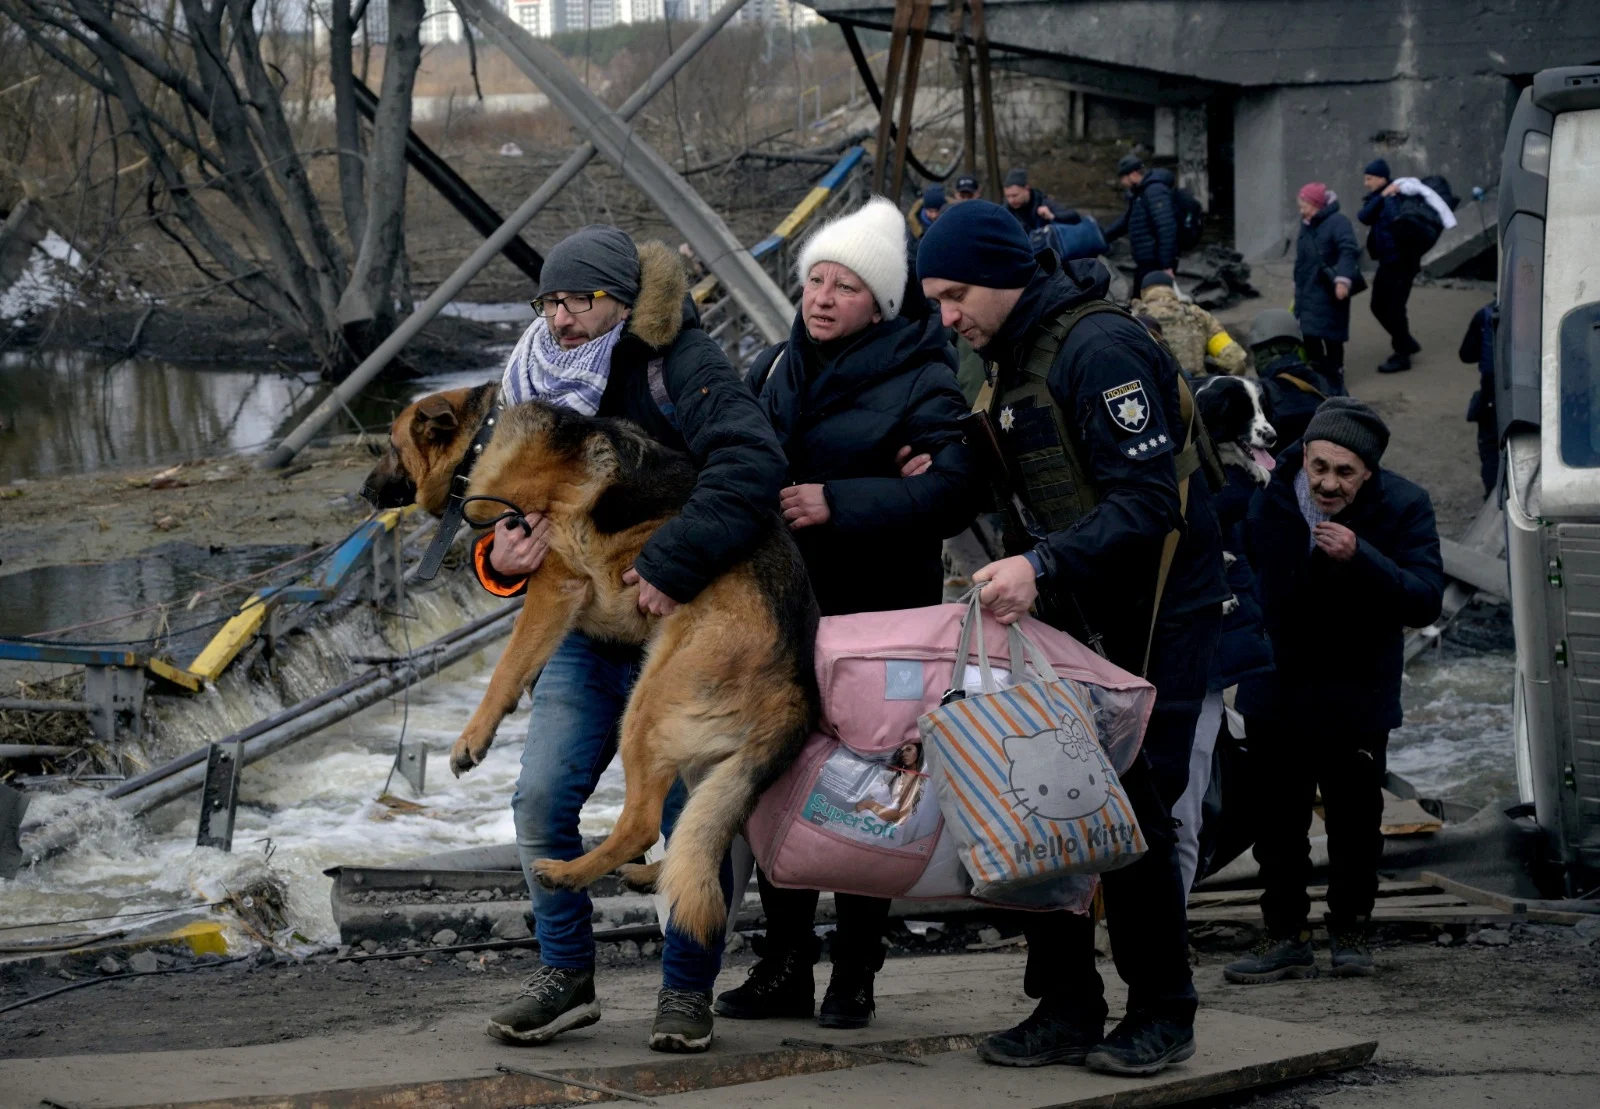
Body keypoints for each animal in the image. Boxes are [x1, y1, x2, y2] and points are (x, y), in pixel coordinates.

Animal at [363, 382, 812, 940]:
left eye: (389, 446)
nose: (363, 492)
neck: (484, 436)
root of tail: (797, 683)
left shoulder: (554, 582)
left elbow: (506, 665)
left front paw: (473, 737)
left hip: (645, 708)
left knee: (644, 824)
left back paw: (568, 873)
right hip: (697, 754)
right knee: (704, 834)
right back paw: (651, 874)